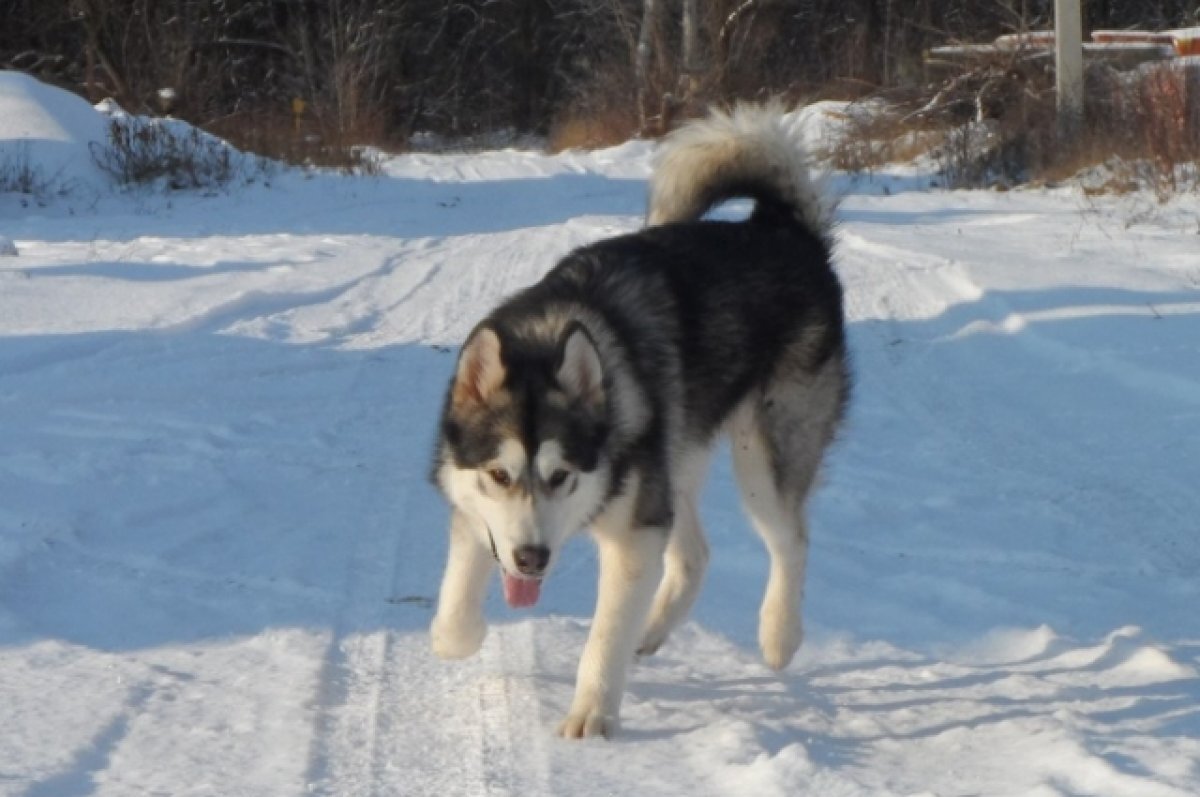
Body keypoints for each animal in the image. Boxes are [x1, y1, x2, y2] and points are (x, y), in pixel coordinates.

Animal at [427, 105, 849, 739]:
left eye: (561, 476)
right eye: (500, 476)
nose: (532, 560)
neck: (549, 334)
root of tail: (782, 228)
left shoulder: (633, 536)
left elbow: (603, 638)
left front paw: (592, 712)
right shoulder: (479, 509)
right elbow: (451, 620)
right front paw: (467, 631)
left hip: (763, 456)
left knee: (790, 539)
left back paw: (779, 635)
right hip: (677, 457)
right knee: (695, 555)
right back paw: (650, 632)